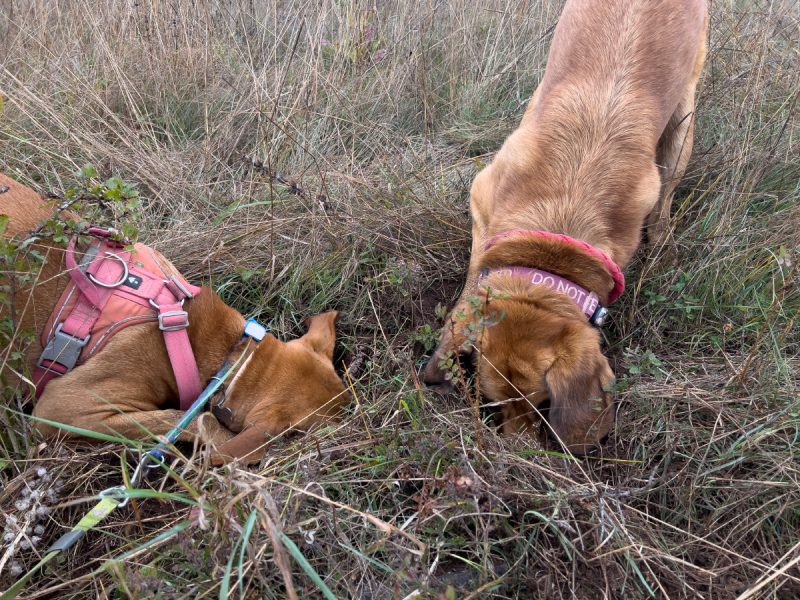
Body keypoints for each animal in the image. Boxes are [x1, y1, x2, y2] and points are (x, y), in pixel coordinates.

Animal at [422, 0, 708, 450]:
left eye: (544, 403)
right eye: (492, 400)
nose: (515, 453)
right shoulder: (481, 204)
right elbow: (474, 276)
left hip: (683, 124)